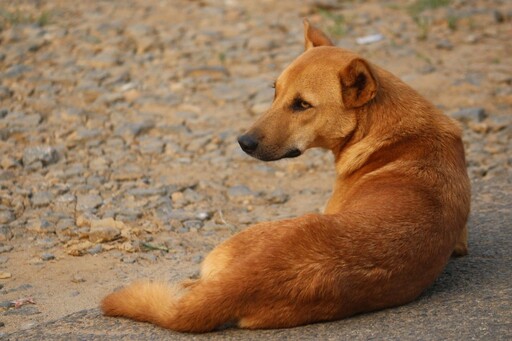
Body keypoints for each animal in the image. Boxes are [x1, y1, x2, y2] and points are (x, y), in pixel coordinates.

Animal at [101, 19, 472, 332]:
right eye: (274, 91)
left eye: (303, 105)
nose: (244, 142)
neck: (391, 133)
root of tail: (246, 281)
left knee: (192, 285)